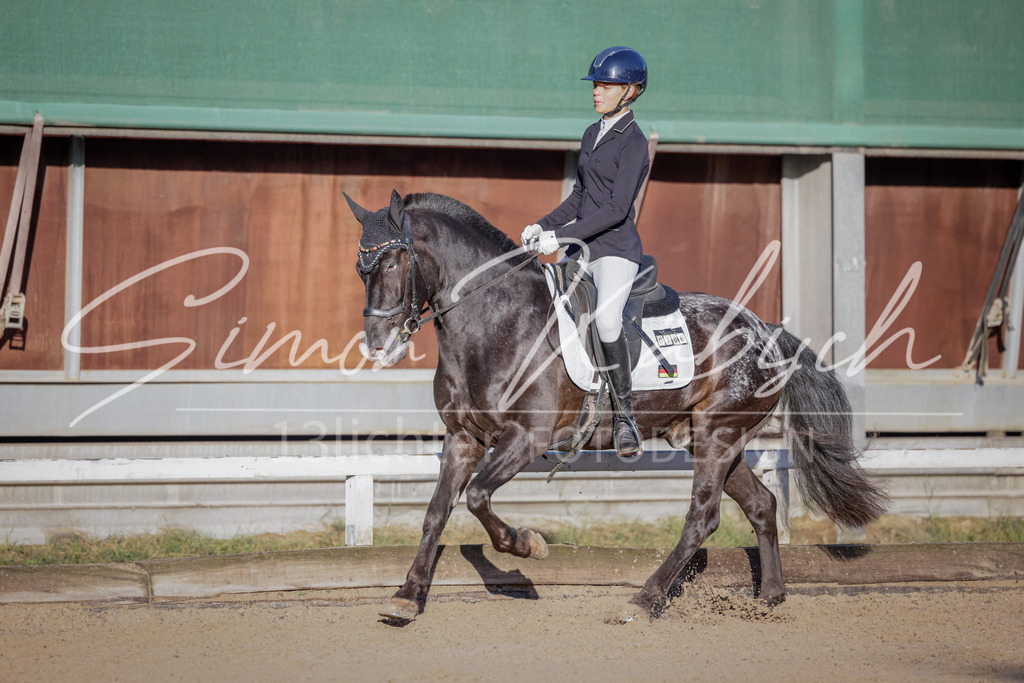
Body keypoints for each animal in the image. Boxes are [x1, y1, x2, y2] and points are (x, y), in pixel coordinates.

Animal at [346, 189, 887, 623]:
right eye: (360, 270)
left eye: (392, 263)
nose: (376, 347)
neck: (494, 322)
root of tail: (766, 330)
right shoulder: (464, 440)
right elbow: (436, 513)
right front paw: (407, 597)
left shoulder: (526, 439)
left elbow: (478, 497)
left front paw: (528, 545)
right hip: (706, 437)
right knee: (760, 505)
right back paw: (770, 598)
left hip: (720, 435)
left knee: (703, 517)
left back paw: (646, 599)